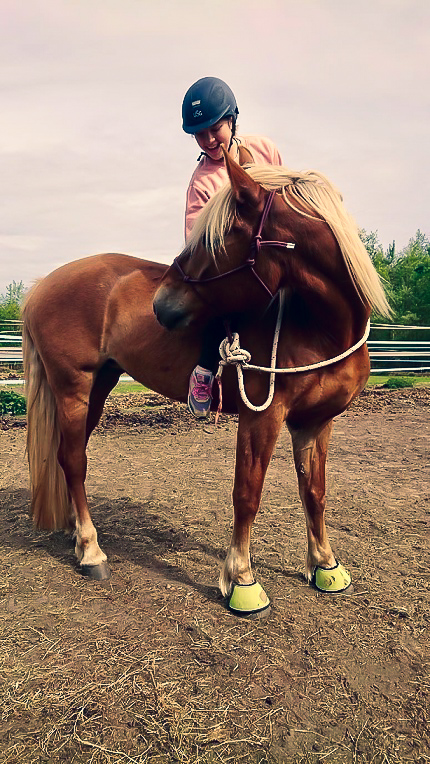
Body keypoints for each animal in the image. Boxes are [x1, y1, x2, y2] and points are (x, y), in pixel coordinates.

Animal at [21, 148, 390, 616]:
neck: (319, 327)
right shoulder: (262, 417)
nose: (161, 305)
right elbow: (247, 493)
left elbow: (315, 491)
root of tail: (41, 286)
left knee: (71, 459)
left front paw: (325, 565)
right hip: (73, 388)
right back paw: (91, 551)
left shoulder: (316, 421)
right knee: (73, 461)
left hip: (98, 388)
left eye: (218, 239)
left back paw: (75, 530)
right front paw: (242, 581)